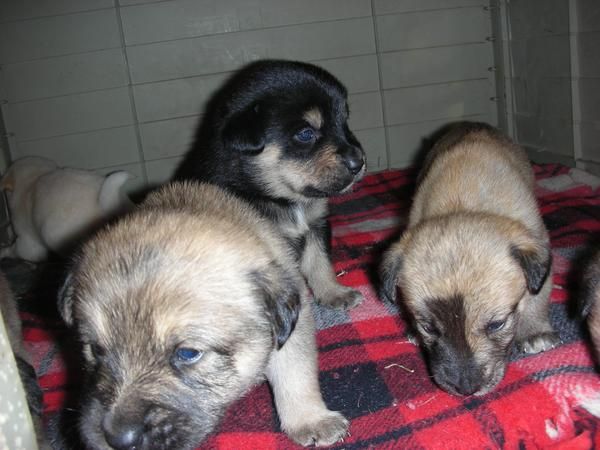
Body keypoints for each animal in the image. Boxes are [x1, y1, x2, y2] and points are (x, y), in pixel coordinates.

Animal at [57, 182, 346, 450]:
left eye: (188, 353)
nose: (117, 439)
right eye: (95, 349)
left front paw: (311, 420)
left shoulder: (294, 326)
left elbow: (295, 371)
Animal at [173, 59, 366, 312]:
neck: (279, 198)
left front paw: (334, 293)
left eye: (345, 123)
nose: (359, 162)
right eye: (306, 134)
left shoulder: (316, 224)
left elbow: (319, 261)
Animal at [382, 121, 560, 396]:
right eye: (428, 327)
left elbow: (537, 298)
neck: (463, 203)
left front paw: (535, 333)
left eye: (497, 325)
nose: (466, 389)